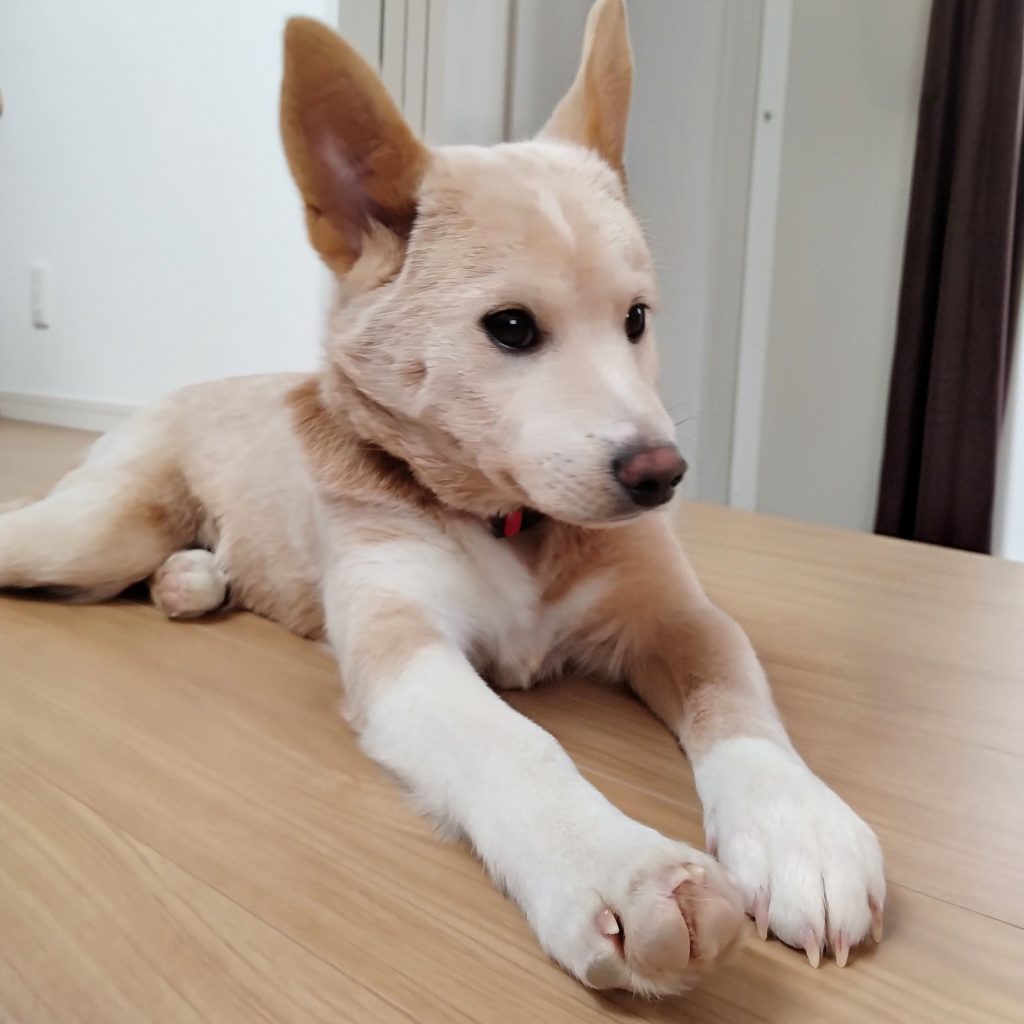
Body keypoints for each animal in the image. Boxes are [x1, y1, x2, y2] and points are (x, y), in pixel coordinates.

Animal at [0, 0, 884, 995]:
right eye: (512, 328)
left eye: (637, 319)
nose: (662, 476)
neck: (511, 524)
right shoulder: (405, 646)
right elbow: (517, 745)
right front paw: (615, 866)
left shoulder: (677, 615)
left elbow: (738, 704)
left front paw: (800, 829)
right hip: (92, 530)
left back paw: (191, 580)